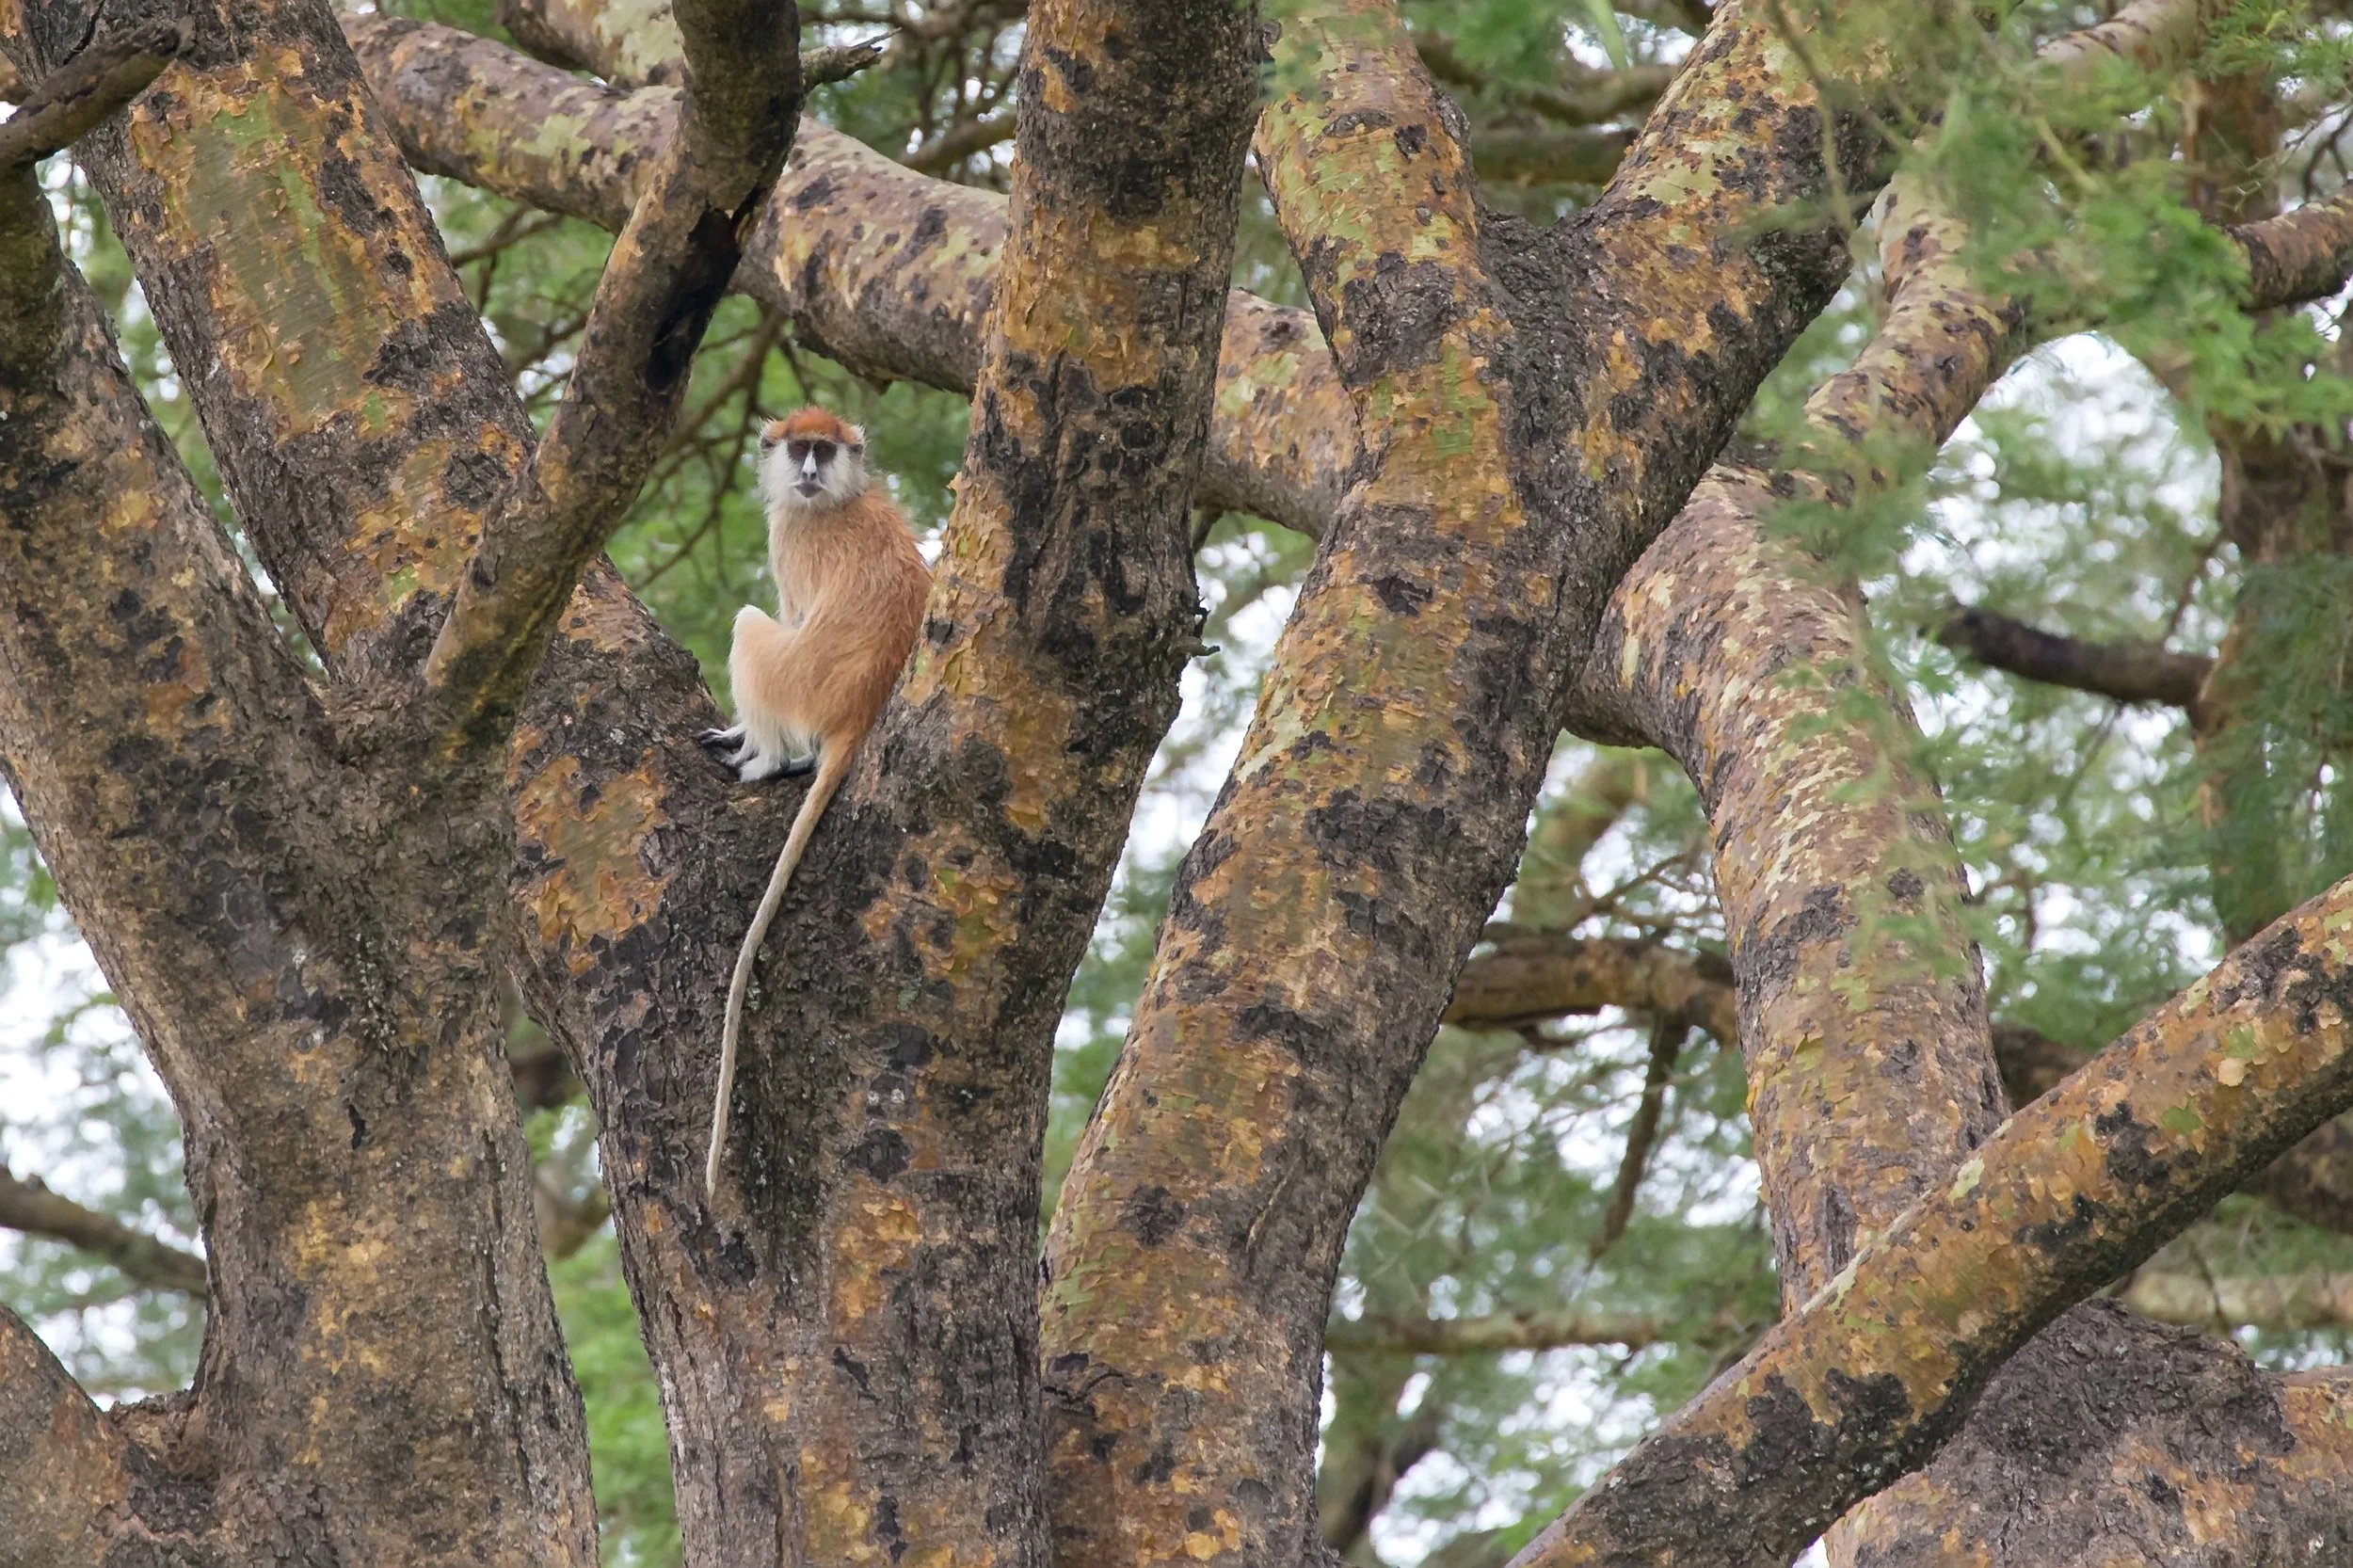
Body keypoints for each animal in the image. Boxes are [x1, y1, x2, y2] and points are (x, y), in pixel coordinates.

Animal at [697, 406, 931, 1193]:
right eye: (801, 448)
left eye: (822, 453)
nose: (804, 472)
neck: (836, 498)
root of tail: (858, 714)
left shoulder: (791, 537)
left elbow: (787, 614)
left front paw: (746, 742)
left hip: (798, 680)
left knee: (750, 626)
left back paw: (766, 759)